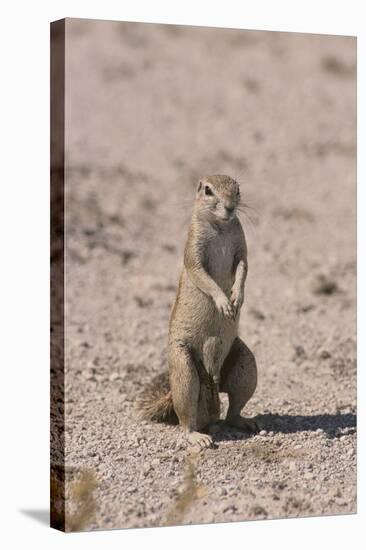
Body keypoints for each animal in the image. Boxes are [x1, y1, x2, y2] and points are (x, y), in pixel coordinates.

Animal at [136, 176, 258, 448]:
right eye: (208, 190)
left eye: (238, 189)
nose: (230, 208)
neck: (220, 226)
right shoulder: (194, 250)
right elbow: (202, 275)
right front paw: (224, 302)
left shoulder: (241, 247)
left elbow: (244, 267)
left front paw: (238, 297)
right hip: (184, 372)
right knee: (185, 420)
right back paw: (198, 437)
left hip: (247, 366)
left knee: (232, 409)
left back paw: (243, 422)